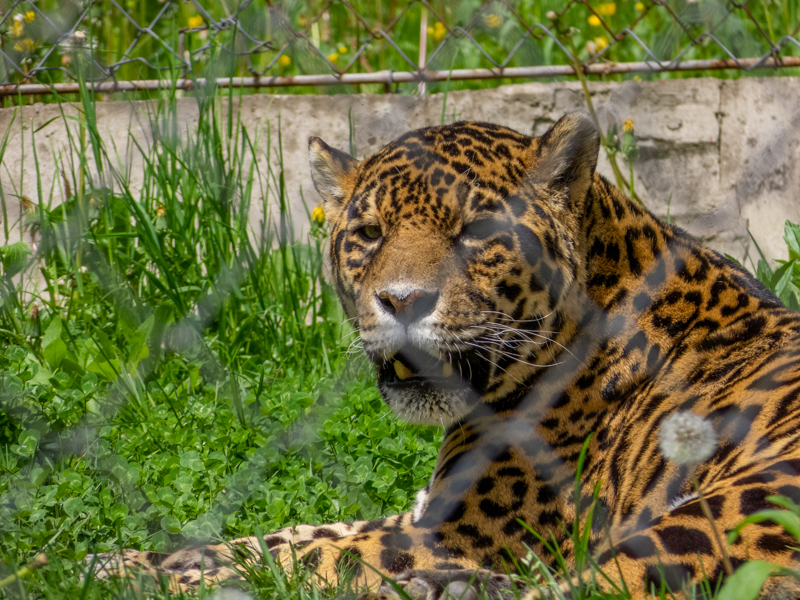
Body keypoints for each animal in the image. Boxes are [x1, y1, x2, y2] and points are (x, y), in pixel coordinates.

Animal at [90, 113, 800, 599]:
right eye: (369, 233)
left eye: (476, 233)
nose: (401, 300)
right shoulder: (422, 511)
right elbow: (289, 534)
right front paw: (111, 559)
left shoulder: (459, 532)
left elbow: (297, 557)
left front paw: (143, 576)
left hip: (730, 505)